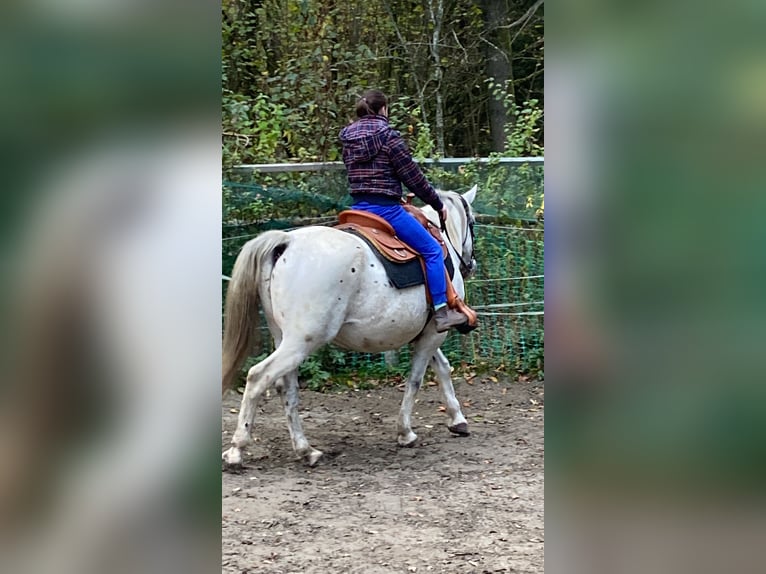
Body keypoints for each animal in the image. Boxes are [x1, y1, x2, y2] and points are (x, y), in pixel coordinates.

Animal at [222, 185, 478, 468]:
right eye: (473, 223)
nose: (471, 264)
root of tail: (286, 242)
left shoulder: (427, 333)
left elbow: (442, 368)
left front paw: (458, 420)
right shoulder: (433, 333)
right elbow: (415, 380)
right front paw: (405, 432)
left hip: (285, 340)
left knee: (285, 387)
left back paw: (306, 450)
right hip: (301, 342)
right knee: (258, 377)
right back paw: (236, 450)